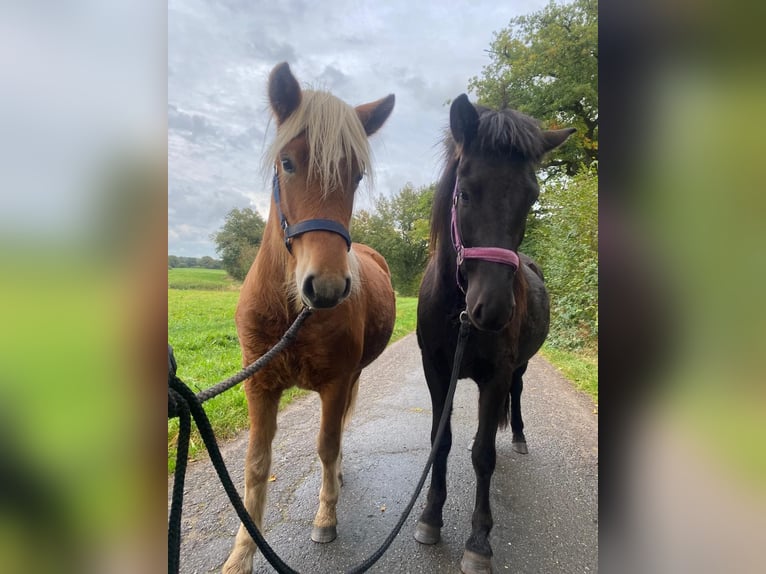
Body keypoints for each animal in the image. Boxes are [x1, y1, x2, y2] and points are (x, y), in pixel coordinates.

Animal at [224, 63, 396, 574]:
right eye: (288, 163)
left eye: (356, 175)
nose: (327, 287)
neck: (291, 314)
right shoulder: (259, 386)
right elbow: (256, 465)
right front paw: (242, 554)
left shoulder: (336, 383)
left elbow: (326, 445)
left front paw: (325, 517)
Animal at [414, 95, 576, 574]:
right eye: (464, 192)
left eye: (532, 197)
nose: (493, 309)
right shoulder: (436, 372)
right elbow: (442, 442)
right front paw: (430, 517)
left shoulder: (496, 375)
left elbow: (482, 454)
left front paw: (479, 541)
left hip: (518, 367)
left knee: (516, 397)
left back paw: (518, 437)